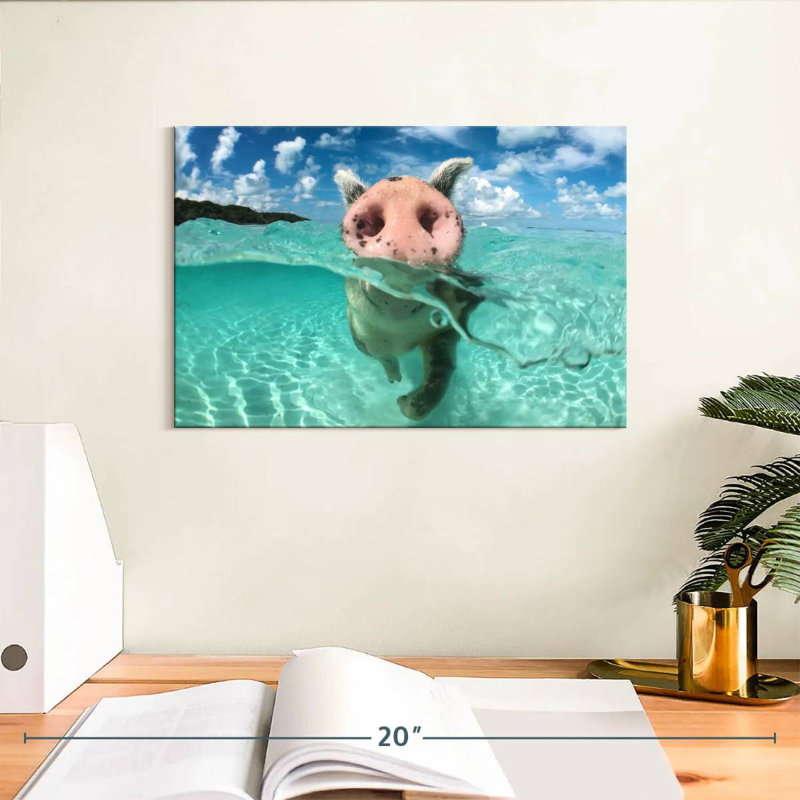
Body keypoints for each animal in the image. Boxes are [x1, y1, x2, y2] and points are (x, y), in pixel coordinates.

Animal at [334, 158, 481, 421]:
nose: (401, 188)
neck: (401, 334)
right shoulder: (357, 328)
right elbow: (381, 356)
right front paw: (395, 382)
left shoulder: (446, 327)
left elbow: (440, 372)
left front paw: (402, 403)